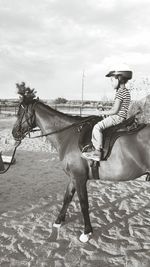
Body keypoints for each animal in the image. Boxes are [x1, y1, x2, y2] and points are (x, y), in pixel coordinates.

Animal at [12, 85, 150, 243]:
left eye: (20, 113)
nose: (14, 133)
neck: (68, 135)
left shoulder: (79, 178)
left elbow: (84, 204)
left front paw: (86, 232)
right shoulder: (73, 177)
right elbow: (67, 198)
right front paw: (58, 221)